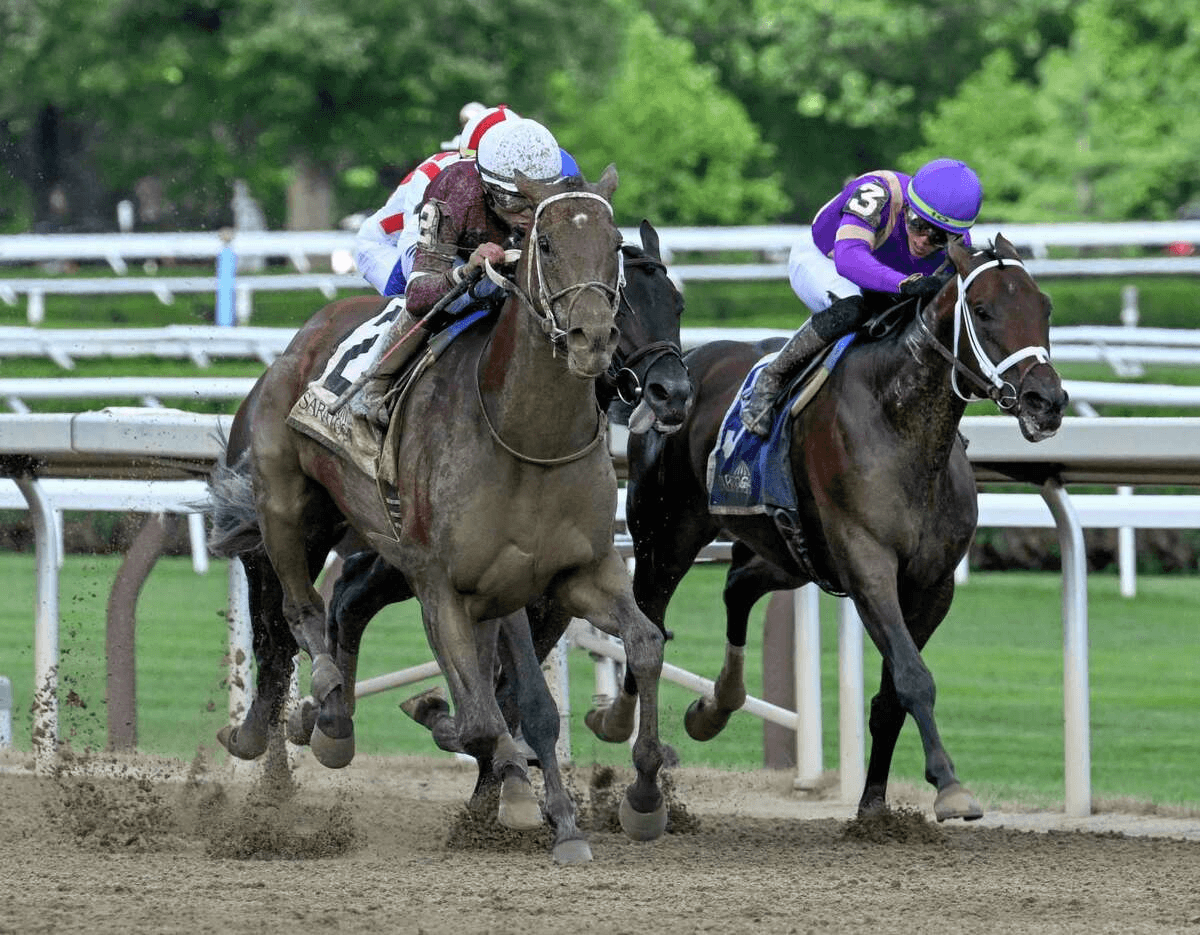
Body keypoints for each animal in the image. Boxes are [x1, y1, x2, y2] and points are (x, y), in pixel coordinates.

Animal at [208, 168, 672, 863]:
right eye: (547, 245)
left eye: (613, 246)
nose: (593, 340)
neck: (526, 438)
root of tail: (301, 339)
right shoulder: (443, 586)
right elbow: (483, 716)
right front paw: (501, 777)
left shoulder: (574, 575)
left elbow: (636, 649)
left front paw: (633, 798)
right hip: (288, 508)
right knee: (293, 613)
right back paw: (312, 710)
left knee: (334, 611)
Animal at [591, 235, 1068, 821]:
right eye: (982, 310)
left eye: (1044, 307)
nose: (1046, 402)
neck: (902, 429)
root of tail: (679, 370)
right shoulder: (868, 568)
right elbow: (914, 678)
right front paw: (950, 785)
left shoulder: (933, 584)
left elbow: (892, 696)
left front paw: (874, 808)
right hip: (665, 537)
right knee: (648, 620)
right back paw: (618, 725)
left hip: (790, 552)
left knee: (737, 587)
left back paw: (716, 706)